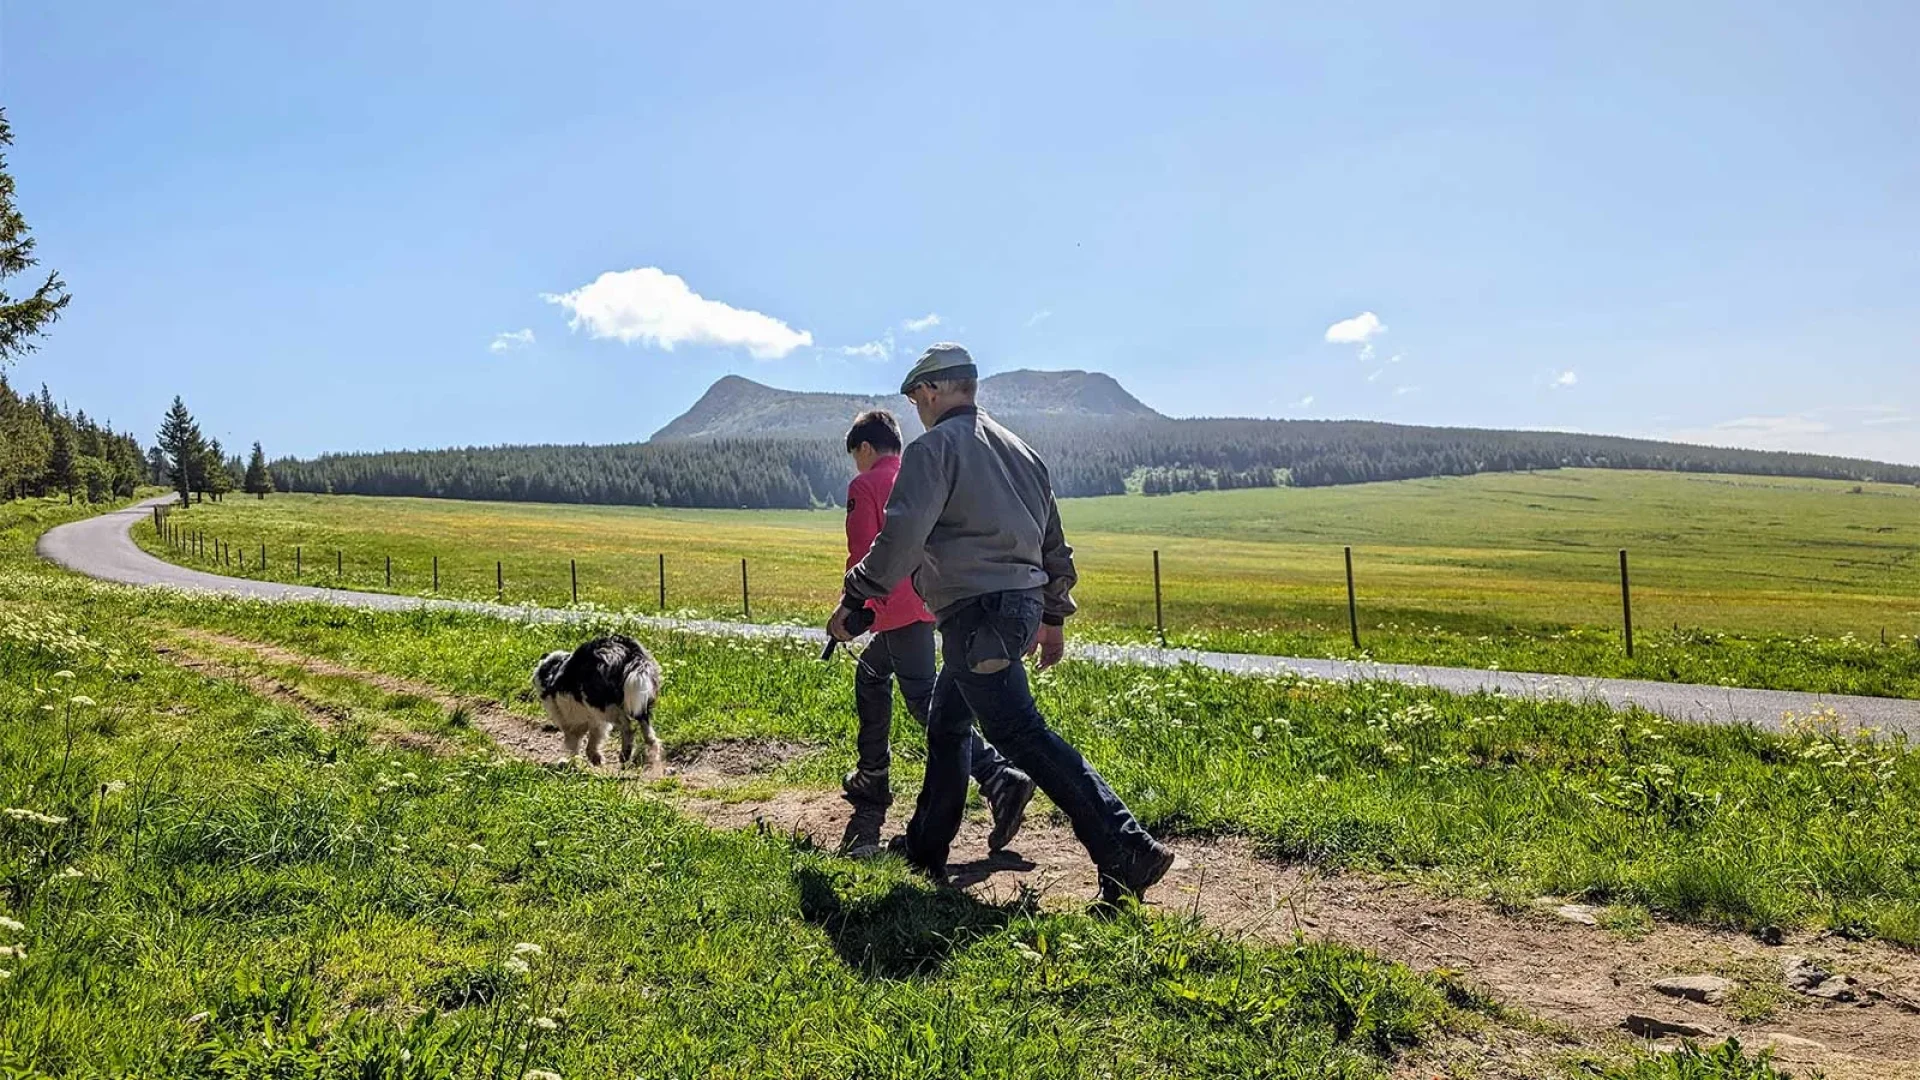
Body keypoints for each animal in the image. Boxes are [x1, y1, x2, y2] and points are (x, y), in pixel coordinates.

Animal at [533, 634, 668, 768]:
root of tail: (625, 647)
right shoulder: (596, 722)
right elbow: (594, 738)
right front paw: (595, 758)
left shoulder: (570, 722)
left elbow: (574, 744)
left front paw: (575, 761)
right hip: (638, 699)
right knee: (647, 730)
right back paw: (651, 754)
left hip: (602, 705)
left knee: (627, 727)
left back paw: (625, 753)